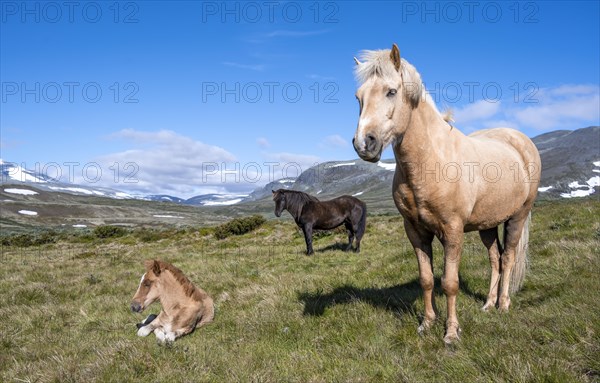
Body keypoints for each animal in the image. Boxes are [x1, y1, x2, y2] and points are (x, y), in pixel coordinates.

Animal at [354, 45, 540, 344]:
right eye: (358, 97)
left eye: (391, 91)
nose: (364, 144)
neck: (431, 160)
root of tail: (522, 141)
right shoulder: (416, 231)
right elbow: (427, 279)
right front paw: (427, 323)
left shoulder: (452, 231)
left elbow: (450, 282)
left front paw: (451, 332)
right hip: (487, 225)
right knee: (495, 258)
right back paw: (488, 304)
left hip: (518, 217)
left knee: (509, 257)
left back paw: (503, 304)